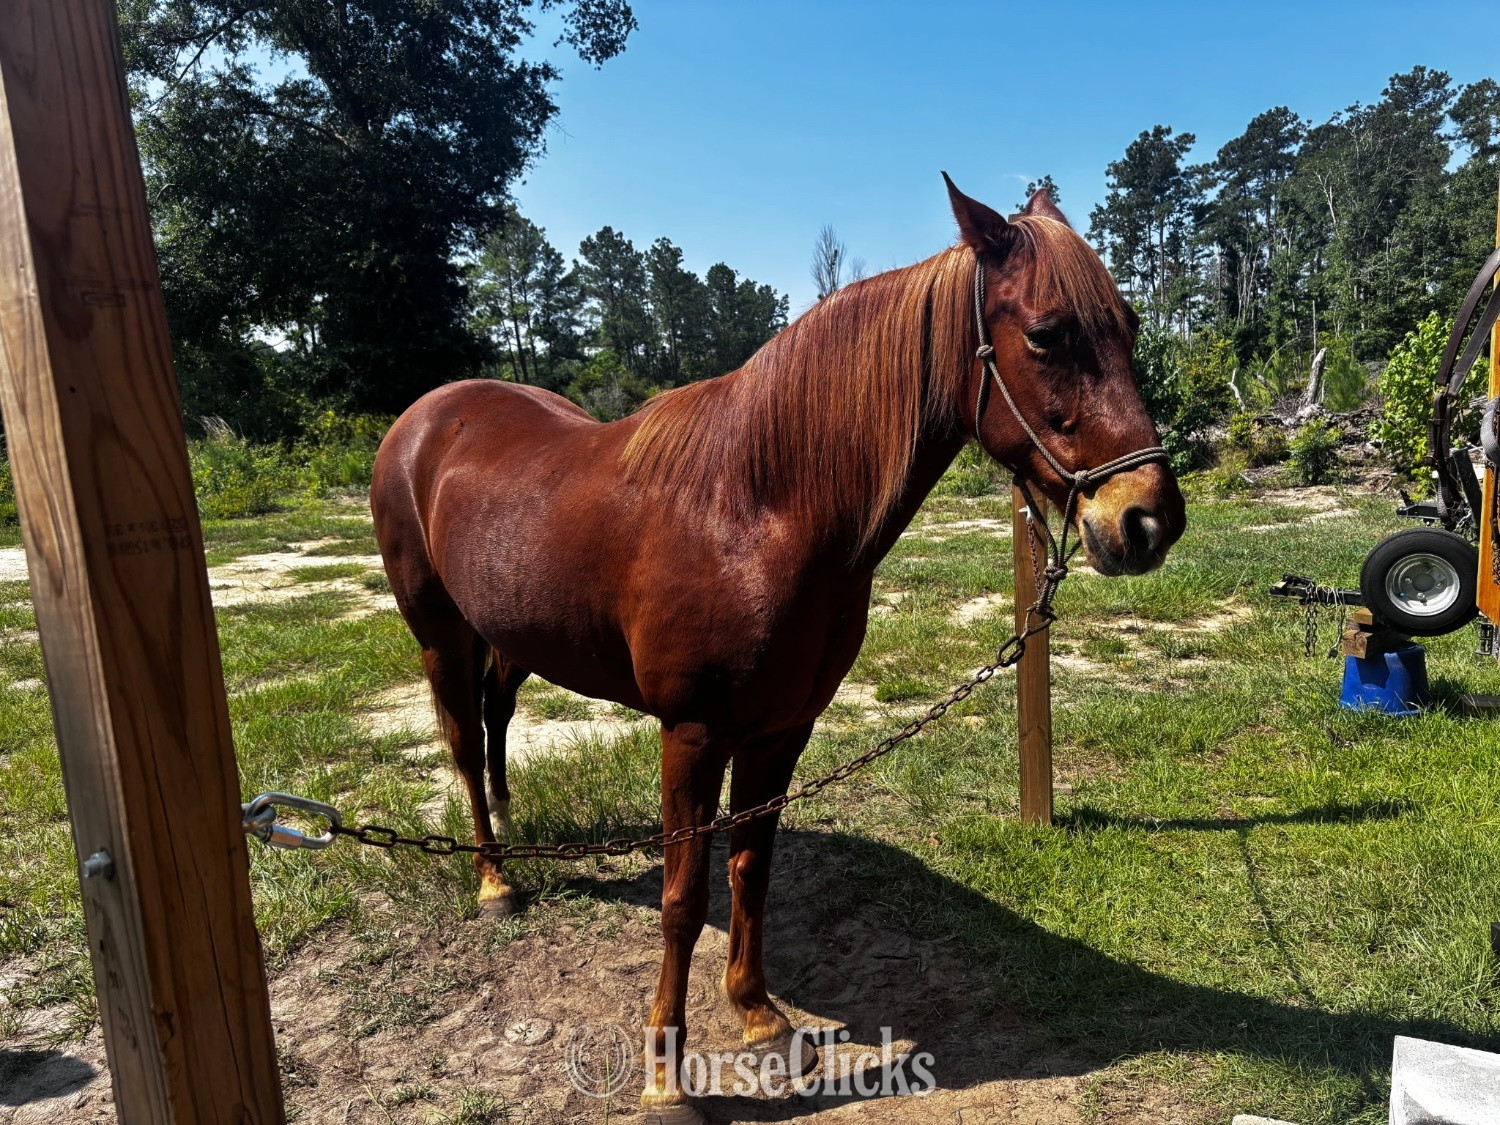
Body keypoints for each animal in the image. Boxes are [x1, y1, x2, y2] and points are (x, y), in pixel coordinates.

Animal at [370, 177, 1186, 1122]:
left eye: (1130, 324)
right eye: (1049, 333)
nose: (1149, 520)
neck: (755, 506)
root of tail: (425, 416)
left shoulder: (780, 729)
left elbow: (752, 869)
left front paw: (760, 1017)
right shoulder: (690, 734)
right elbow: (683, 897)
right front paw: (664, 1075)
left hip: (507, 633)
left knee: (496, 717)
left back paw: (509, 825)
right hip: (438, 631)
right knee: (464, 744)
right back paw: (496, 881)